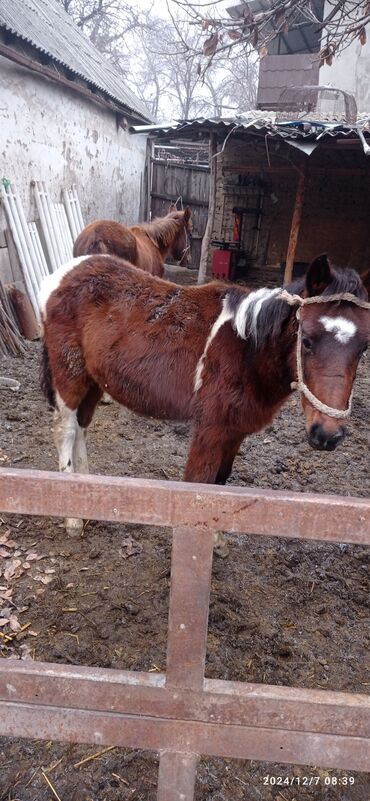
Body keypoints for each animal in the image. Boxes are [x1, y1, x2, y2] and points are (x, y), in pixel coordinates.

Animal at [40, 253, 370, 536]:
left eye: (364, 347)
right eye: (308, 341)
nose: (327, 435)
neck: (247, 349)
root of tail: (63, 274)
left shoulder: (235, 431)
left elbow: (220, 483)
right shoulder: (210, 430)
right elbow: (198, 484)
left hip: (94, 381)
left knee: (81, 428)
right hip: (70, 374)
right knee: (66, 430)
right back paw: (72, 517)